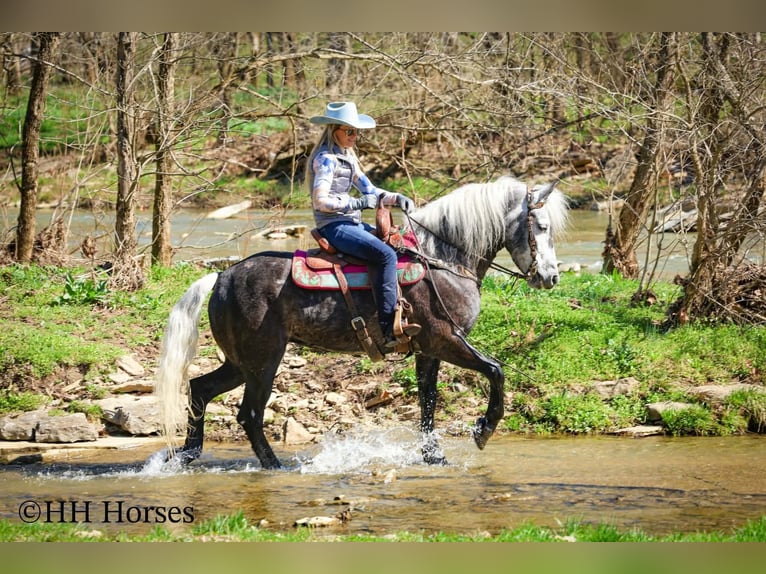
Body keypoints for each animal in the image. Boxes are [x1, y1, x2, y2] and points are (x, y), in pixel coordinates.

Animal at [154, 176, 569, 469]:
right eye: (541, 226)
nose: (550, 277)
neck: (442, 260)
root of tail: (222, 276)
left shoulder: (428, 351)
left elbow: (428, 400)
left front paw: (433, 456)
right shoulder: (446, 340)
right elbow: (496, 370)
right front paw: (483, 430)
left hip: (240, 362)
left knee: (200, 389)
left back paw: (186, 456)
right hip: (263, 362)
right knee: (250, 414)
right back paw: (274, 466)